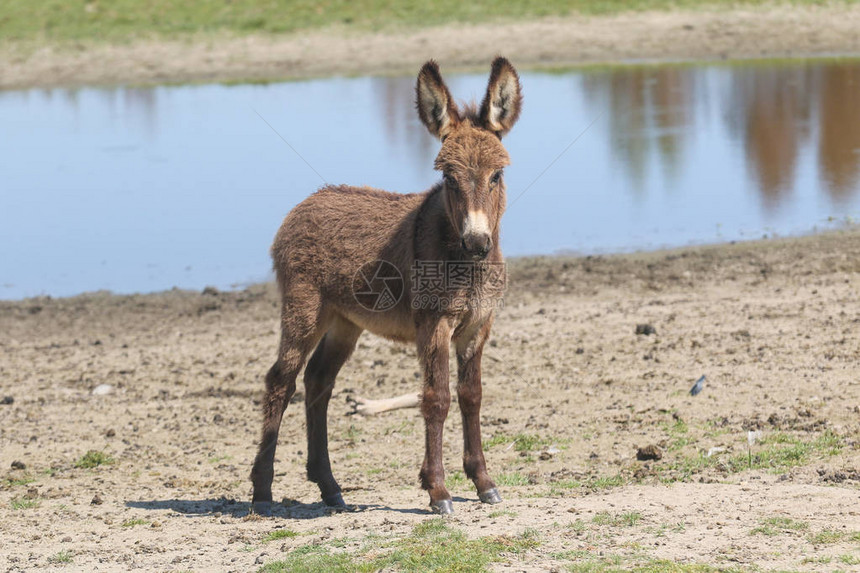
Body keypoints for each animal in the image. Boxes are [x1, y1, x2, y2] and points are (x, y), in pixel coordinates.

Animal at [250, 58, 524, 512]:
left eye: (497, 175)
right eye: (449, 178)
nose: (477, 242)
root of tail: (305, 203)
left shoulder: (477, 328)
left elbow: (472, 396)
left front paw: (484, 482)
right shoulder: (434, 325)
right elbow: (437, 398)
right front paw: (438, 490)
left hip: (344, 322)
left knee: (318, 382)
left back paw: (329, 487)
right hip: (304, 310)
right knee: (280, 381)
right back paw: (262, 491)